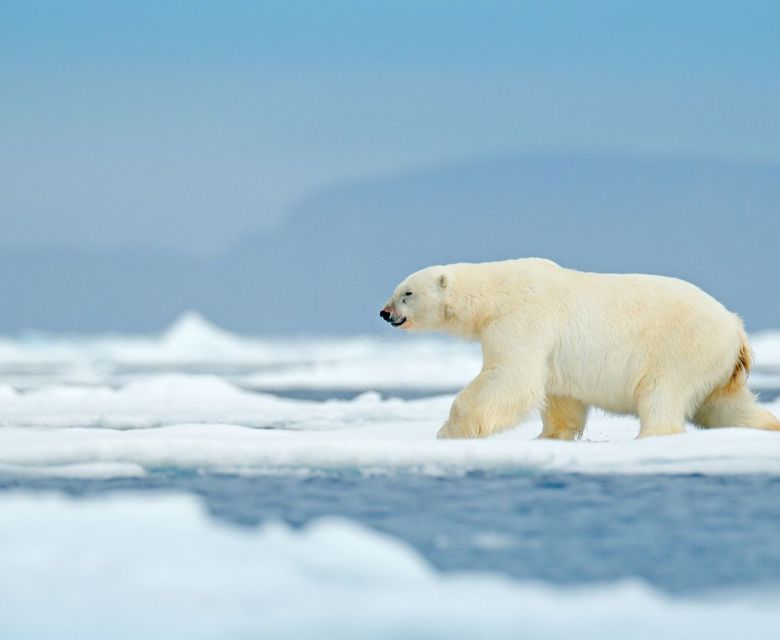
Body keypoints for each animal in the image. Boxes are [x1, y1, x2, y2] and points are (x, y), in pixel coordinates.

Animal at [379, 258, 780, 439]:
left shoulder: (523, 318)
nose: (384, 312)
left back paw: (650, 436)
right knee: (727, 407)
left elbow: (510, 377)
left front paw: (449, 431)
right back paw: (766, 426)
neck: (497, 289)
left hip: (683, 347)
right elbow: (561, 397)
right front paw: (549, 437)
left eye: (406, 293)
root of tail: (737, 329)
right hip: (719, 368)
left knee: (661, 393)